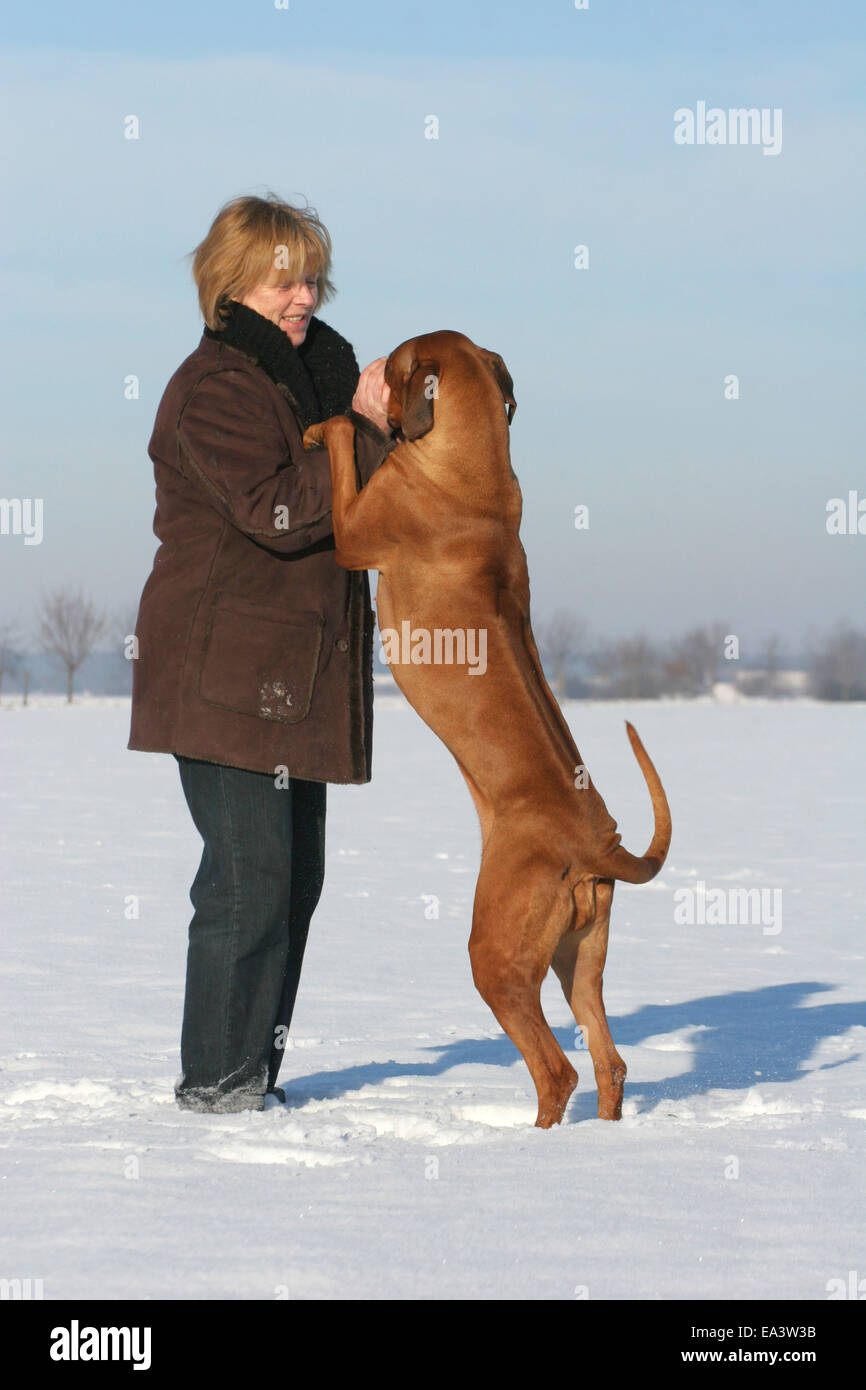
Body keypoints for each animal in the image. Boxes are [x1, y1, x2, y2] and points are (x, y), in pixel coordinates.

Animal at [301, 330, 675, 1123]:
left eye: (396, 364)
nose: (367, 368)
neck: (473, 470)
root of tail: (597, 844)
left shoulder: (356, 531)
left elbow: (350, 442)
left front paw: (326, 424)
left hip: (496, 954)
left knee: (555, 1070)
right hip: (578, 954)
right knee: (610, 1061)